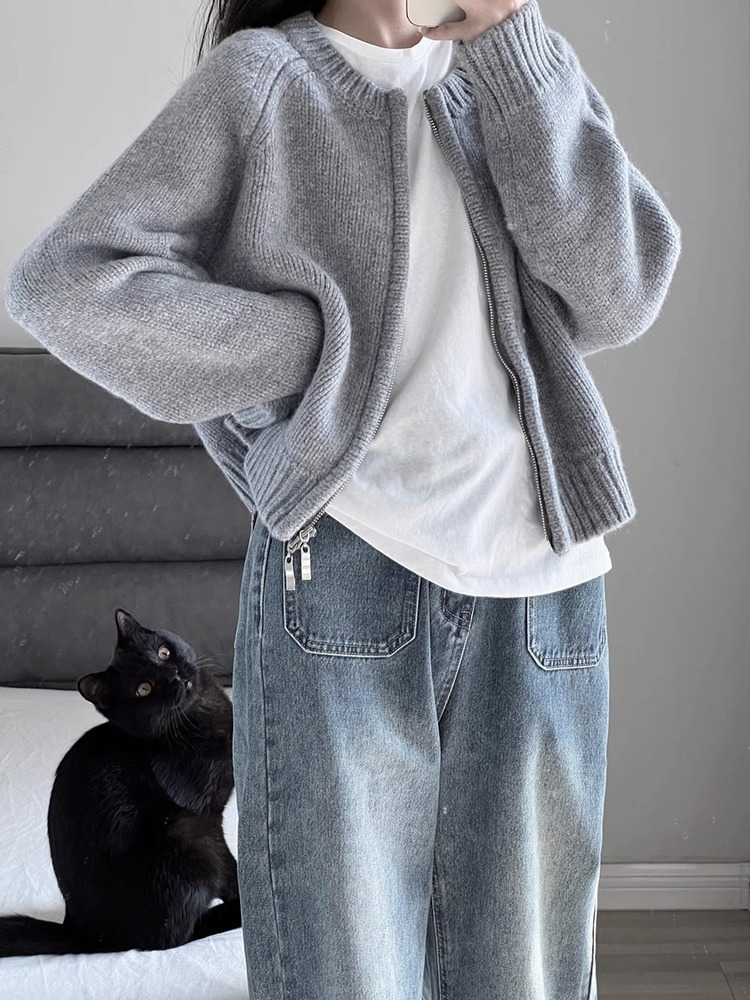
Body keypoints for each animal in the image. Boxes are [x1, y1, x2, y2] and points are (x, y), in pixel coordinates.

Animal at [0, 608, 241, 956]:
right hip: (189, 839)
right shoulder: (206, 816)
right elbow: (230, 870)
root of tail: (86, 935)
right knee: (173, 937)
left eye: (163, 653)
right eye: (144, 689)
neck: (200, 714)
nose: (174, 675)